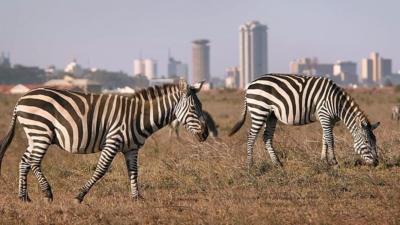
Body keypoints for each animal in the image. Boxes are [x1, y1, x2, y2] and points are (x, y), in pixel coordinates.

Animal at [0, 80, 208, 203]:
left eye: (201, 106)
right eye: (193, 108)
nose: (205, 134)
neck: (138, 116)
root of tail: (21, 99)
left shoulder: (131, 148)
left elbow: (134, 172)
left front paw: (136, 198)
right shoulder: (113, 141)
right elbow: (101, 170)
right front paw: (79, 196)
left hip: (35, 135)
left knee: (24, 161)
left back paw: (24, 197)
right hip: (41, 132)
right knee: (34, 161)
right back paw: (47, 193)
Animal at [230, 74, 380, 169]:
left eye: (375, 142)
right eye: (367, 142)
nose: (377, 163)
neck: (337, 103)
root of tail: (250, 85)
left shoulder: (329, 120)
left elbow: (325, 138)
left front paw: (324, 160)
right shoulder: (324, 114)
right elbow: (330, 139)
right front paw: (334, 162)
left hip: (271, 115)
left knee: (266, 137)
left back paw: (277, 163)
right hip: (259, 111)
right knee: (251, 137)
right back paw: (250, 165)